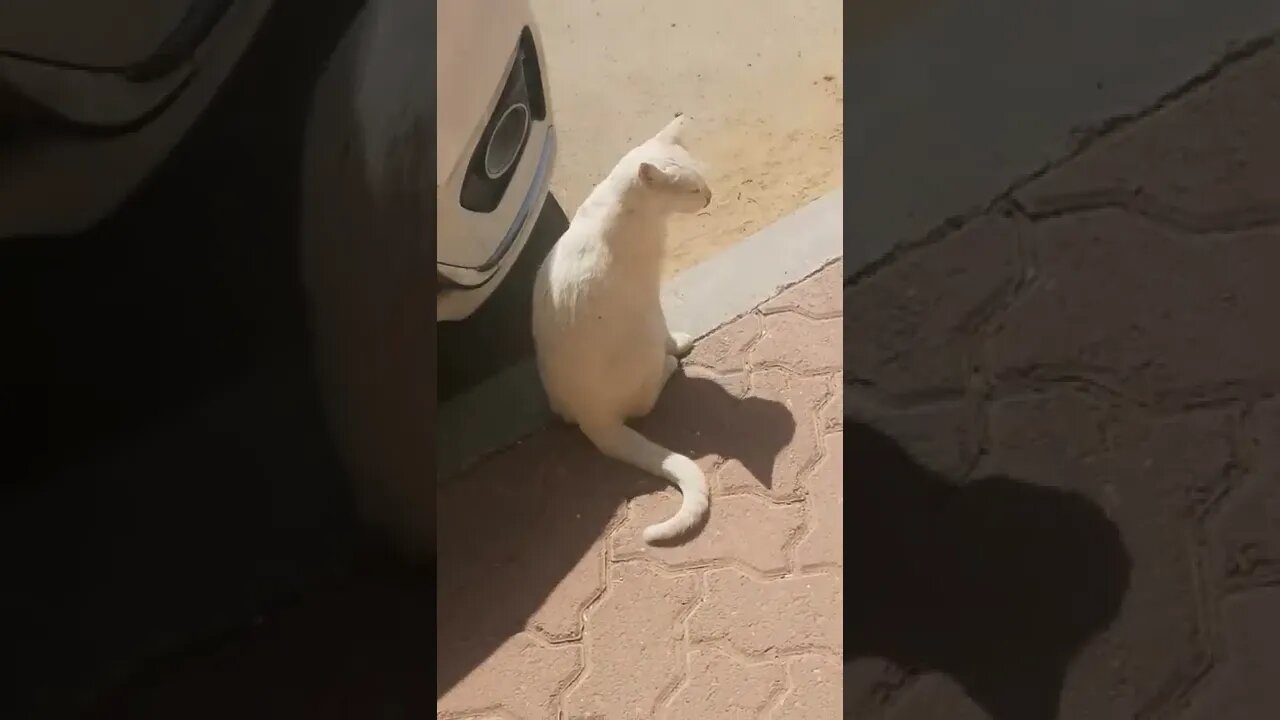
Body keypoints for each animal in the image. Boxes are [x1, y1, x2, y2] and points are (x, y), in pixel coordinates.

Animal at [529, 112, 711, 540]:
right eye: (694, 189)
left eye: (704, 182)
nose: (710, 197)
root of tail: (594, 419)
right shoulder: (650, 292)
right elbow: (668, 330)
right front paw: (678, 344)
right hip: (644, 337)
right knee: (645, 400)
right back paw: (669, 364)